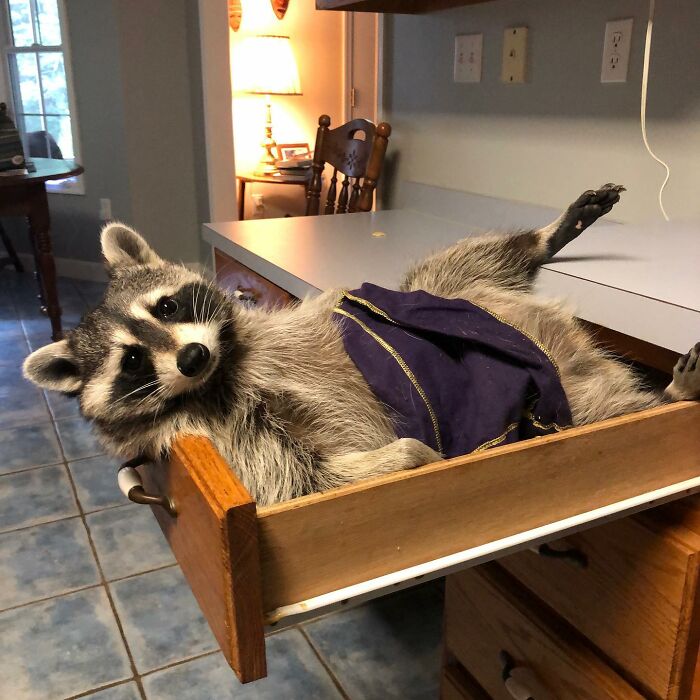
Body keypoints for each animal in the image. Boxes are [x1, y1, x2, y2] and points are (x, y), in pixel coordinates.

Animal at [23, 184, 700, 505]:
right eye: (132, 360)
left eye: (165, 307)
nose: (192, 357)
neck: (228, 366)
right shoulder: (224, 442)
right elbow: (309, 481)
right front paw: (409, 456)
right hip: (569, 408)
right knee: (612, 411)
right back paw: (670, 396)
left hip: (457, 292)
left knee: (457, 263)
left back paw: (546, 235)